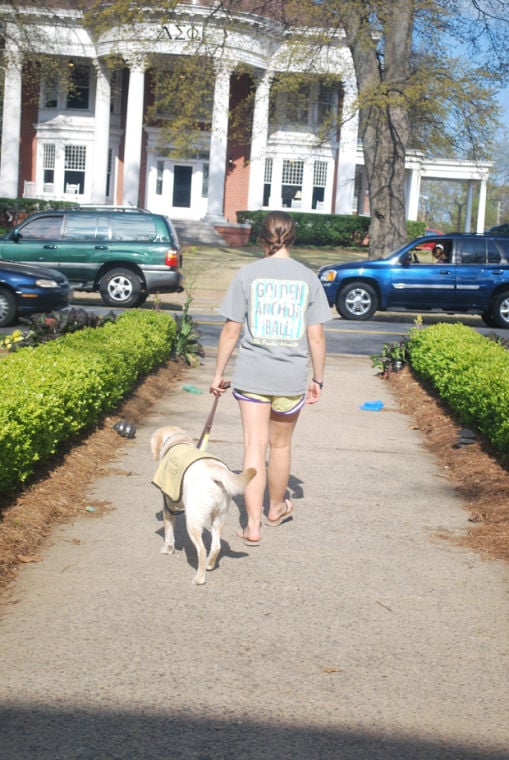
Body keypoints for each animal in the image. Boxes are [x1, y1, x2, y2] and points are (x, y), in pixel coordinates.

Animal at [150, 424, 254, 584]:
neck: (177, 442)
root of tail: (215, 472)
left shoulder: (167, 505)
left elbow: (169, 533)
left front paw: (167, 550)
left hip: (193, 521)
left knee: (202, 550)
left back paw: (199, 578)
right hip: (219, 518)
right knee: (216, 546)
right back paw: (210, 565)